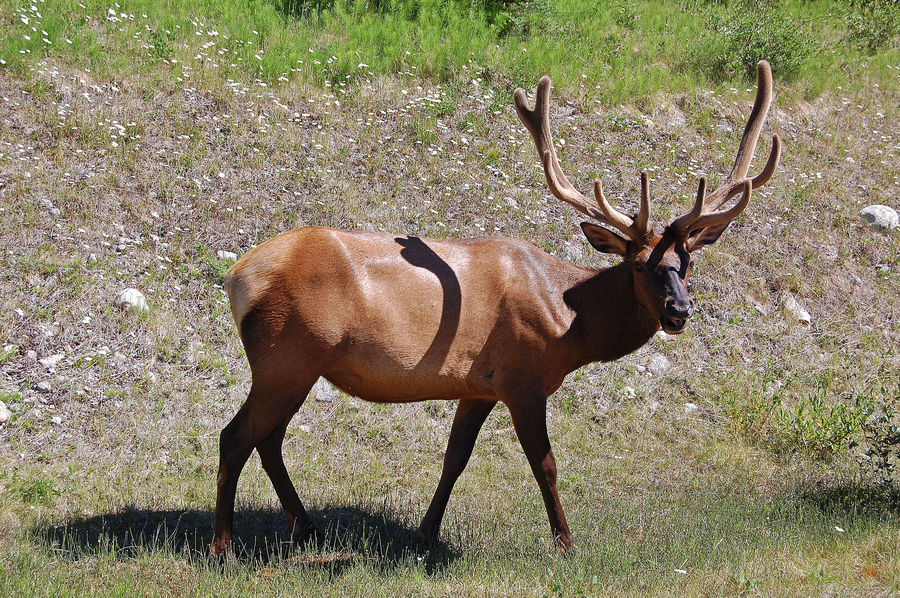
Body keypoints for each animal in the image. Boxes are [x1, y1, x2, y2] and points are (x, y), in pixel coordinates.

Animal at [211, 61, 780, 556]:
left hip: (295, 365)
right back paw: (223, 547)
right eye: (639, 265)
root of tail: (237, 277)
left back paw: (305, 525)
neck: (568, 323)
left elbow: (454, 458)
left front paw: (427, 532)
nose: (679, 310)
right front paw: (565, 542)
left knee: (269, 438)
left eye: (688, 262)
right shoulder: (522, 377)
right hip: (285, 357)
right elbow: (544, 463)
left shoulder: (477, 385)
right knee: (236, 436)